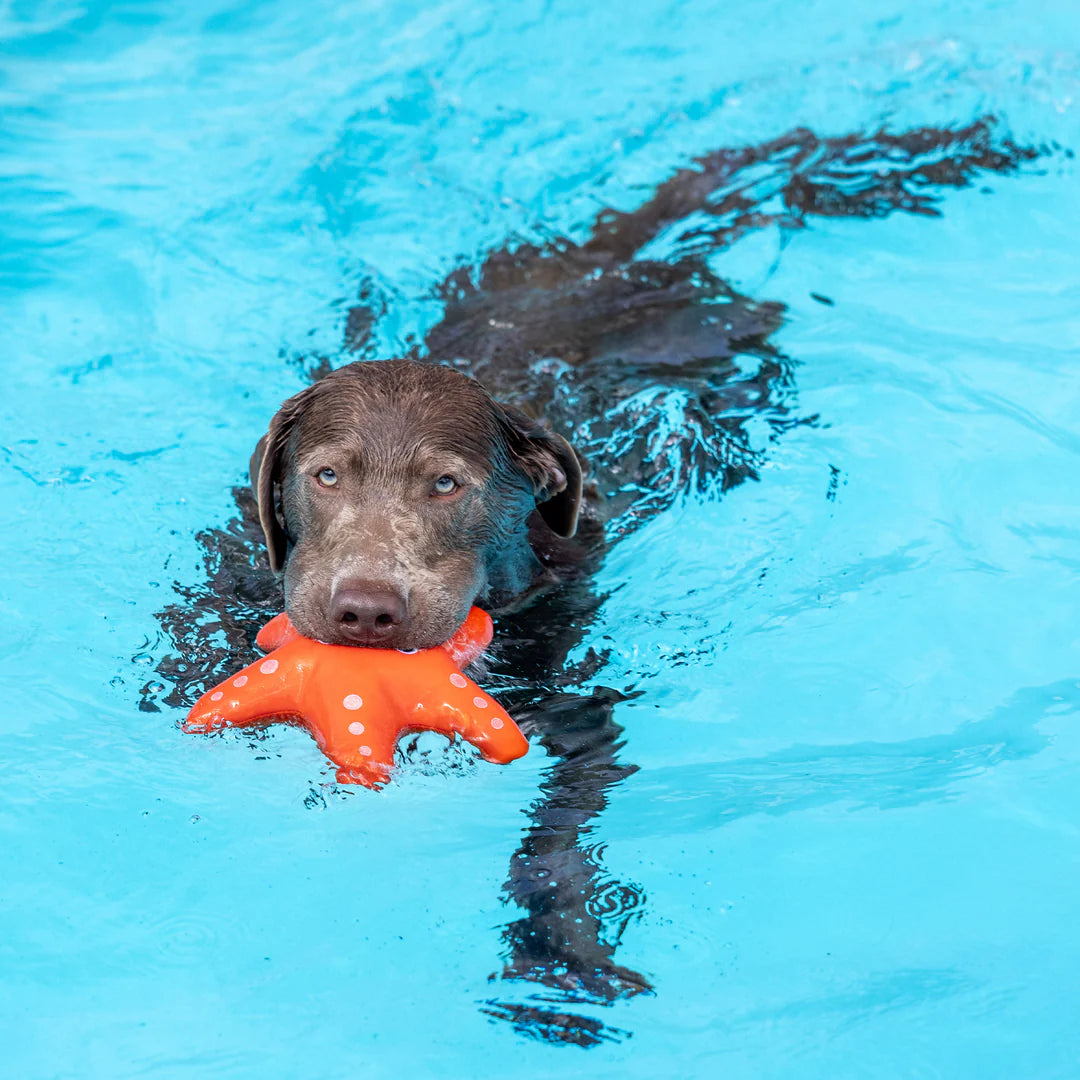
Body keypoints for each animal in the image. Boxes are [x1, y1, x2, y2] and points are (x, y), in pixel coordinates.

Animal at [152, 120, 1036, 1045]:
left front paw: (558, 952)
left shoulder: (583, 713)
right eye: (325, 476)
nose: (365, 612)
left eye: (447, 485)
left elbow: (555, 839)